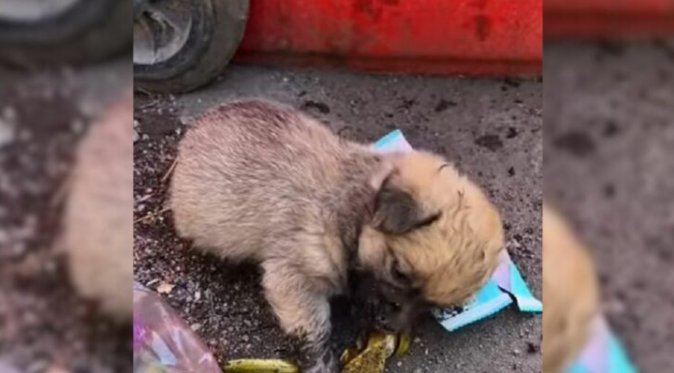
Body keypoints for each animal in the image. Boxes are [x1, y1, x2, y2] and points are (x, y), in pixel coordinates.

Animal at [171, 99, 502, 372]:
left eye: (431, 307)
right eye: (398, 271)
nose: (387, 324)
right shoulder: (295, 280)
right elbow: (314, 329)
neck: (352, 205)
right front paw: (319, 362)